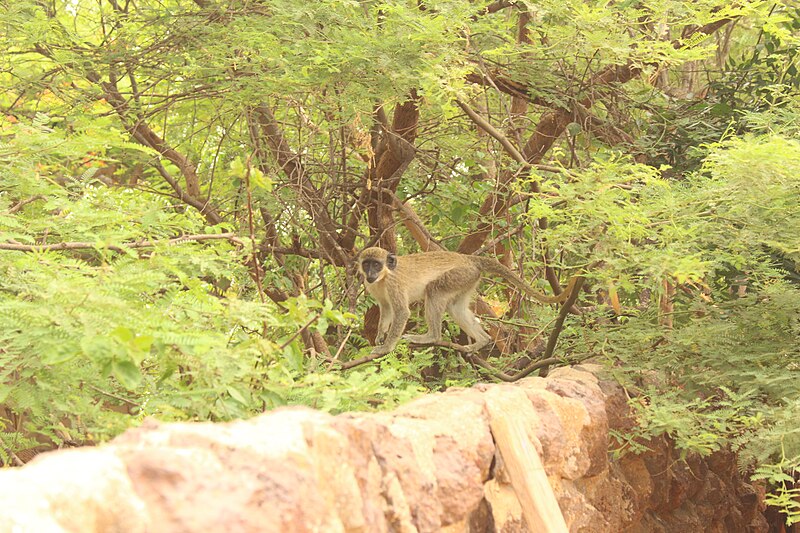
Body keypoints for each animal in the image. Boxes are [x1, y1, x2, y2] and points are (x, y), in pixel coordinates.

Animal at [356, 248, 576, 358]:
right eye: (366, 264)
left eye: (376, 264)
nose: (370, 274)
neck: (383, 277)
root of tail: (469, 260)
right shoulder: (373, 287)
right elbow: (386, 309)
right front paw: (380, 335)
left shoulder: (394, 284)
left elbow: (401, 312)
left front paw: (385, 348)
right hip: (468, 279)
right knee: (455, 307)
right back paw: (482, 341)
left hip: (460, 274)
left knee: (433, 291)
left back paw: (431, 337)